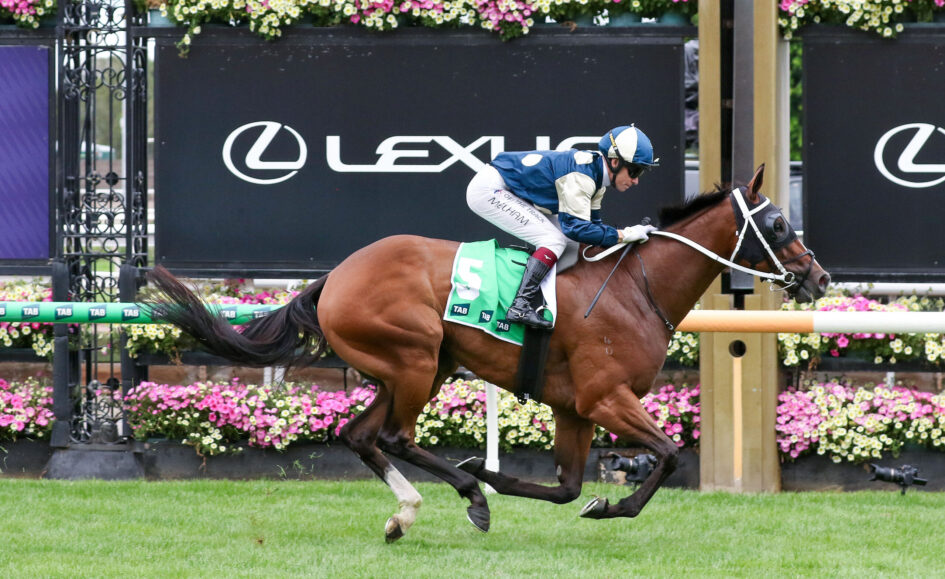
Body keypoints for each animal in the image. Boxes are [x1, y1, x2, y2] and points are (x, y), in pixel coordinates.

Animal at [145, 164, 829, 542]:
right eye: (777, 226)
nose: (818, 279)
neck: (637, 287)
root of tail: (333, 278)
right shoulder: (605, 397)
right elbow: (665, 455)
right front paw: (608, 503)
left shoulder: (574, 408)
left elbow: (566, 488)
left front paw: (529, 482)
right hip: (416, 358)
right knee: (392, 436)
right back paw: (466, 495)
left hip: (418, 368)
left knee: (361, 434)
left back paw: (407, 513)